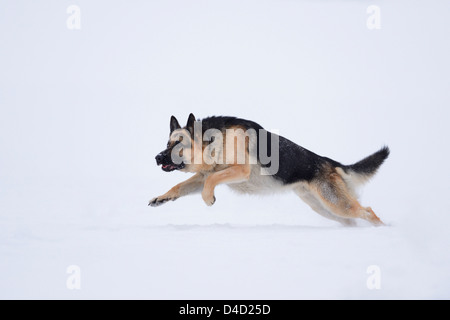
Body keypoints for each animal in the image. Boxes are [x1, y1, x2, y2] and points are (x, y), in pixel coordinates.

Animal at [149, 114, 388, 226]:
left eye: (178, 144)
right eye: (167, 143)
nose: (157, 157)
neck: (215, 142)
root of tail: (329, 162)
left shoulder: (238, 170)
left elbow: (211, 181)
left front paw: (208, 198)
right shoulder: (202, 175)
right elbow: (179, 186)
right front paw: (161, 198)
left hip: (336, 204)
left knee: (368, 212)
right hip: (325, 208)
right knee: (353, 220)